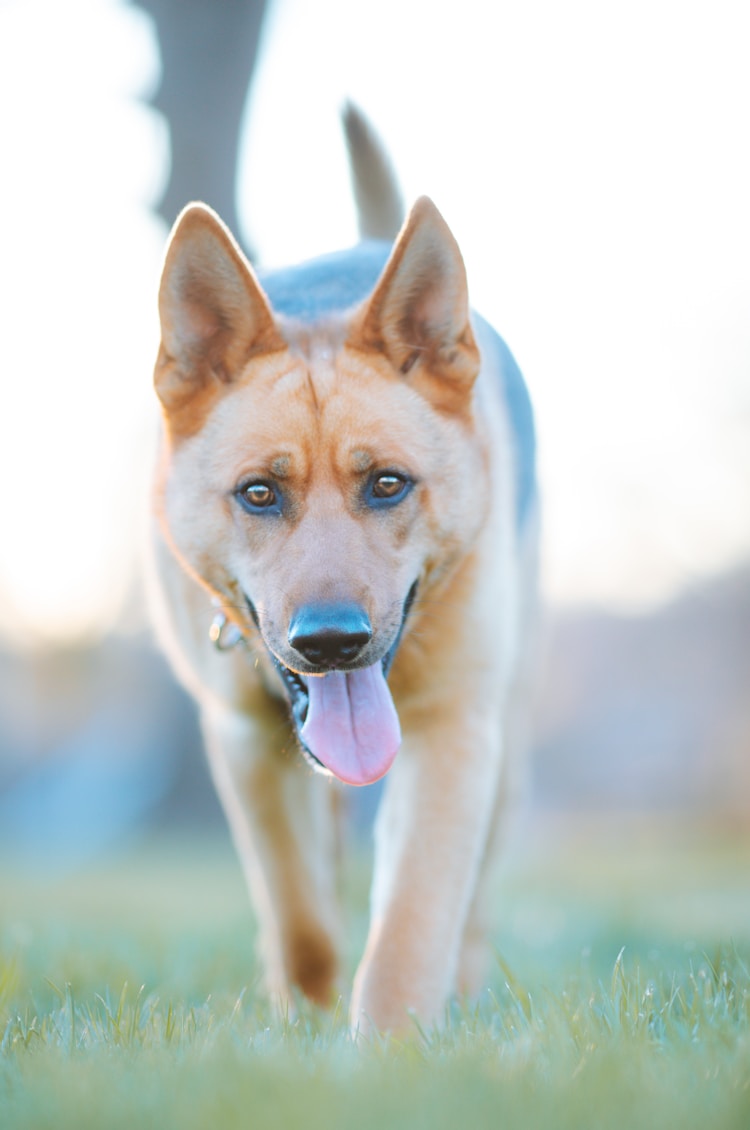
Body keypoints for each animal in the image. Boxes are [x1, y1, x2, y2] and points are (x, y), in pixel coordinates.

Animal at [149, 106, 535, 1035]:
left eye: (387, 483)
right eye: (259, 493)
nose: (331, 642)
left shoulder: (453, 730)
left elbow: (410, 928)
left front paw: (388, 1048)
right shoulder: (243, 741)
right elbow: (301, 919)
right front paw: (303, 1023)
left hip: (505, 742)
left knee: (473, 907)